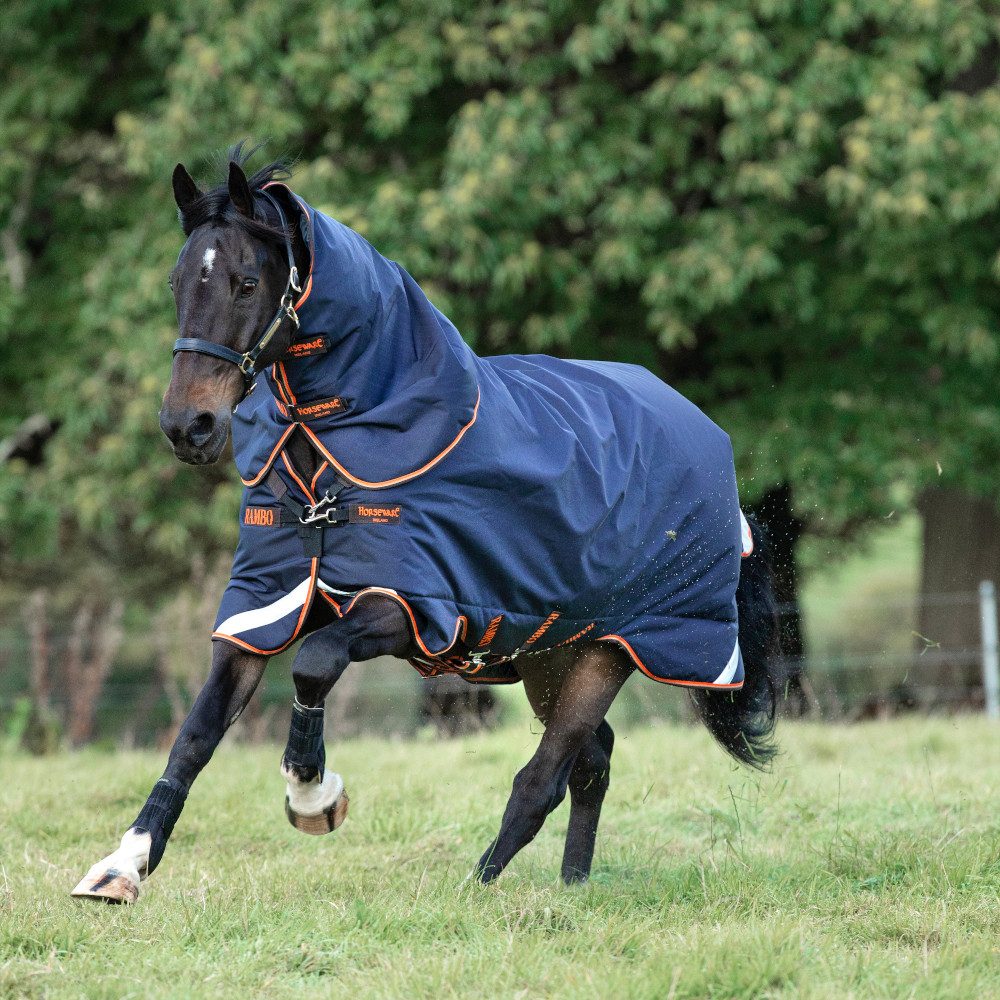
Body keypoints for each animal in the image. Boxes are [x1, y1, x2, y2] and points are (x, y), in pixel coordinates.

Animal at [72, 148, 779, 903]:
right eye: (178, 281)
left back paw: (478, 890)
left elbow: (315, 663)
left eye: (244, 281)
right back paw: (572, 888)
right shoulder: (264, 603)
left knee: (543, 779)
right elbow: (197, 734)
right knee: (593, 763)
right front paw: (122, 866)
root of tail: (704, 433)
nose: (188, 426)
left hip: (609, 652)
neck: (340, 452)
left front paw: (314, 797)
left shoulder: (409, 605)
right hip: (549, 654)